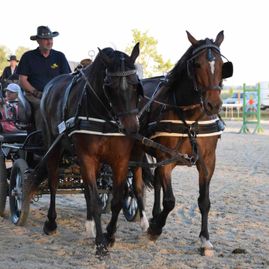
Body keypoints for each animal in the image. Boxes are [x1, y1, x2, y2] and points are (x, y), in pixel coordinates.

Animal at [34, 43, 142, 254]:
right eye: (109, 85)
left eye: (135, 83)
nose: (131, 128)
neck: (105, 117)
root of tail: (51, 85)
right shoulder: (87, 157)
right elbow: (93, 198)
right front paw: (100, 243)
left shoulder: (120, 160)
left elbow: (116, 199)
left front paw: (109, 235)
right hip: (54, 146)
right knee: (53, 183)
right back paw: (51, 222)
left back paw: (90, 224)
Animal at [132, 30, 232, 253]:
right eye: (197, 64)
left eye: (223, 65)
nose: (213, 104)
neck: (190, 118)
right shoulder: (167, 158)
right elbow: (170, 201)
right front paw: (156, 229)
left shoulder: (207, 161)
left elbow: (204, 201)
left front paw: (204, 238)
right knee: (137, 185)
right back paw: (144, 220)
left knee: (156, 183)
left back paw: (153, 215)